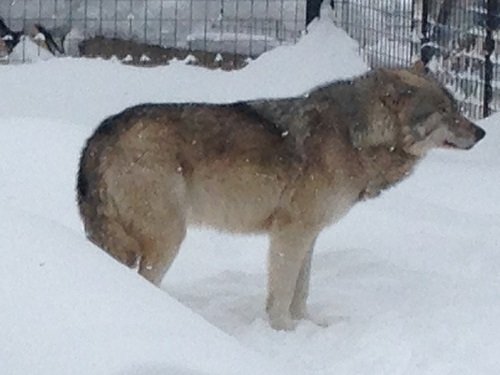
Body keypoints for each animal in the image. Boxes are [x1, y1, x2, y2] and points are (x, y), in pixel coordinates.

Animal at [77, 63, 484, 330]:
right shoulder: (291, 233)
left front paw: (308, 329)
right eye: (444, 111)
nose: (481, 133)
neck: (355, 136)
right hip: (169, 238)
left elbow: (301, 293)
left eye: (457, 107)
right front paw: (283, 332)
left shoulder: (308, 234)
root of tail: (98, 136)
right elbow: (282, 293)